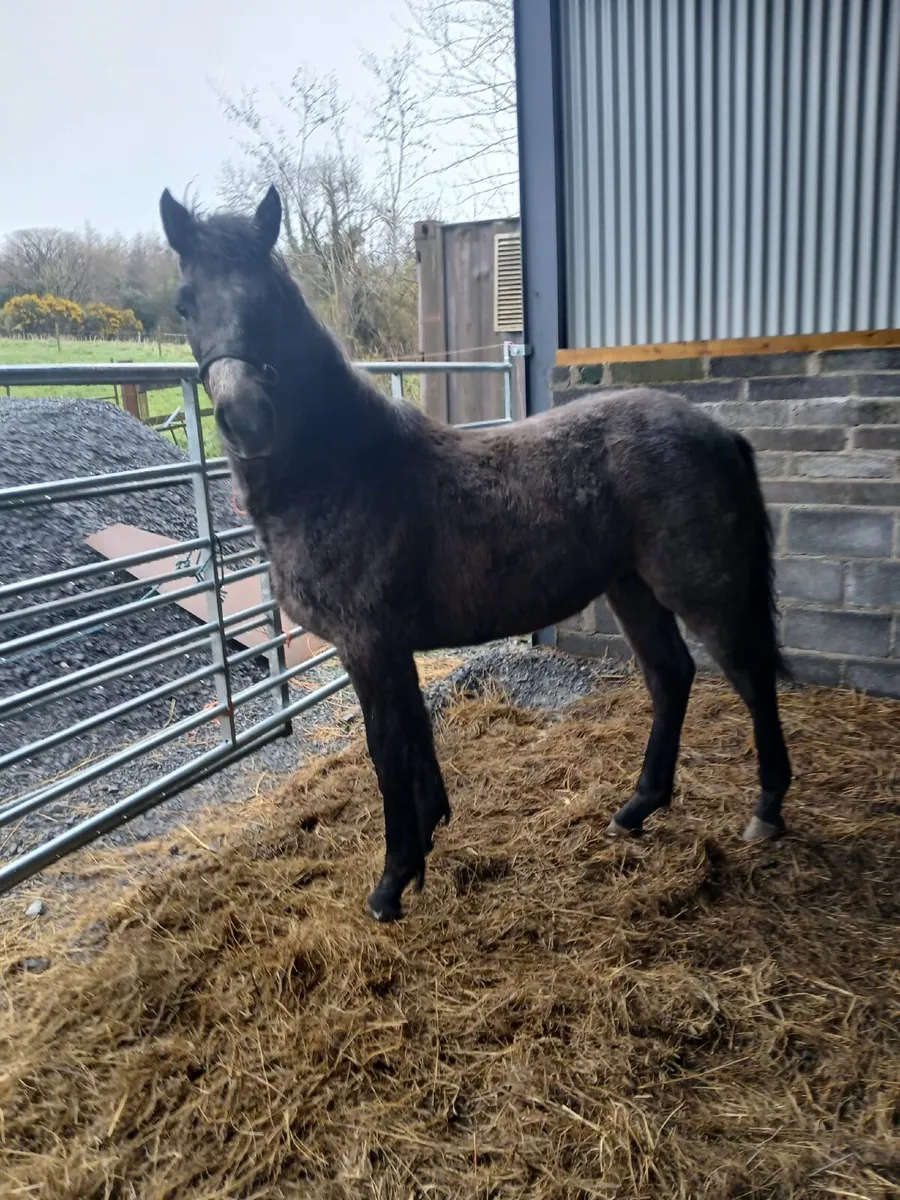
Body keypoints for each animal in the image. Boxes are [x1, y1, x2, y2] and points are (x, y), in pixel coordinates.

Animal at [159, 184, 793, 923]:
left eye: (269, 298)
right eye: (184, 302)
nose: (244, 418)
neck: (342, 468)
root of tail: (719, 432)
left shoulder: (367, 644)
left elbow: (387, 752)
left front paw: (392, 883)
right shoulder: (390, 647)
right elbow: (416, 738)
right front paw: (428, 839)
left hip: (701, 585)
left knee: (750, 674)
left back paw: (767, 810)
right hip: (631, 587)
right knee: (672, 676)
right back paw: (636, 808)